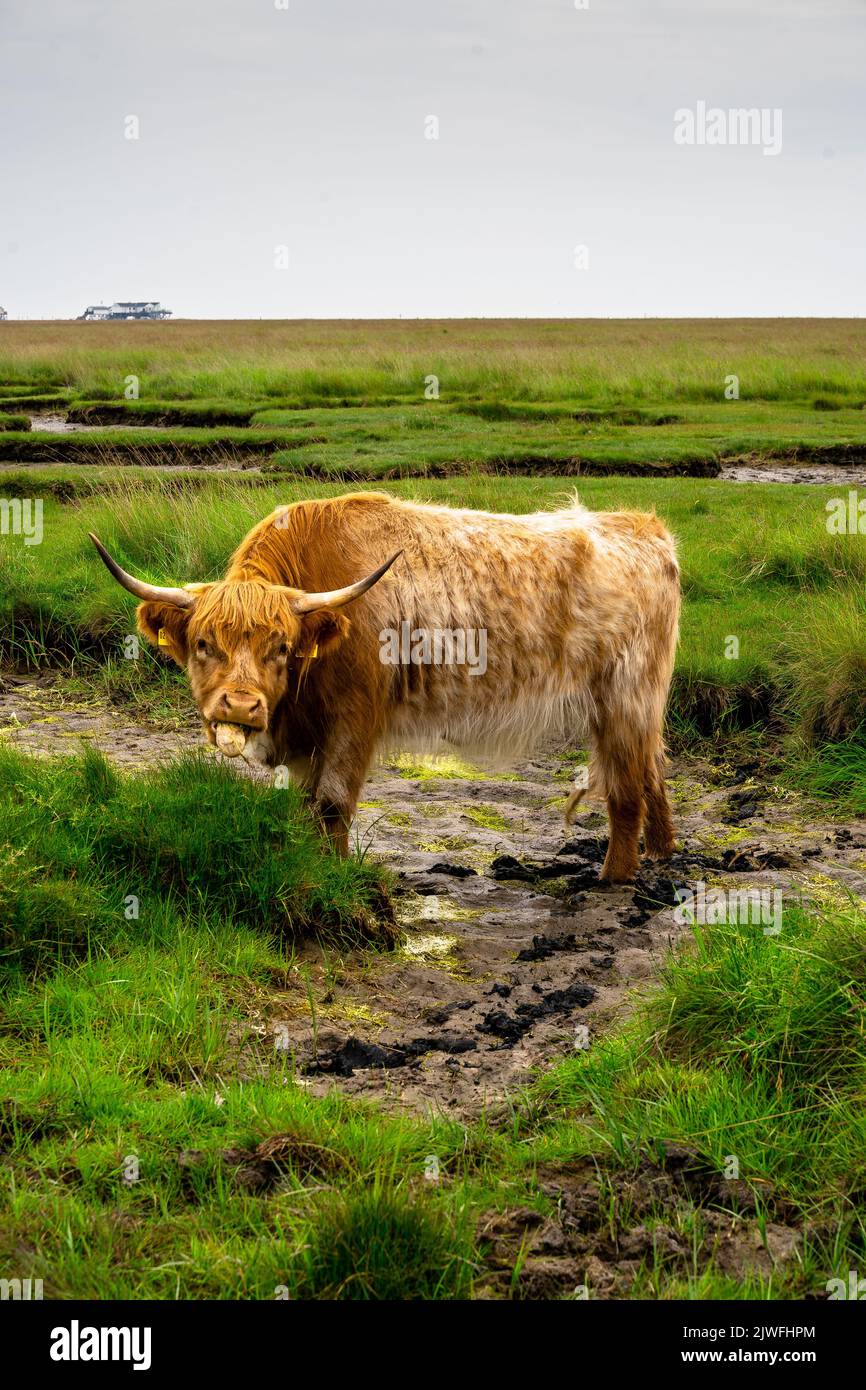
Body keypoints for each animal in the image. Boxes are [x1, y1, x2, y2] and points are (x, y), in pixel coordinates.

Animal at [90, 489, 680, 881]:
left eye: (279, 646)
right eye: (203, 643)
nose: (241, 705)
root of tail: (645, 528)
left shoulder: (353, 717)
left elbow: (332, 804)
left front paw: (336, 876)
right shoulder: (306, 735)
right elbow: (304, 805)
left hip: (626, 699)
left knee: (626, 791)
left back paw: (615, 878)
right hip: (635, 708)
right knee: (653, 773)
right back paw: (661, 853)